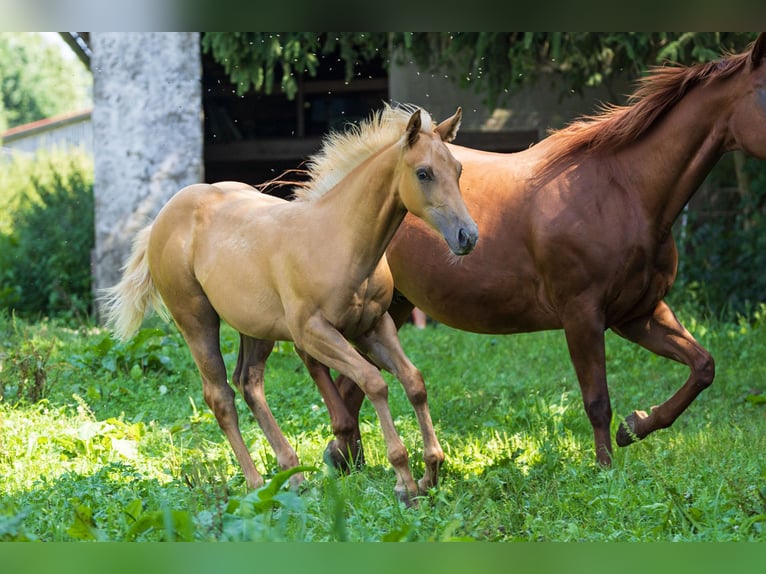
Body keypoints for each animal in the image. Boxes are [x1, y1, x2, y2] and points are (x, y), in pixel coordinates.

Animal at [101, 104, 478, 505]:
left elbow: (413, 381)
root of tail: (162, 216)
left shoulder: (374, 326)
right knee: (220, 396)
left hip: (256, 328)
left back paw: (293, 475)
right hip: (196, 320)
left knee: (249, 383)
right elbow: (374, 382)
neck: (339, 238)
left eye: (458, 169)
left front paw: (430, 472)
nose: (467, 236)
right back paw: (255, 484)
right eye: (423, 173)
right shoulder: (313, 334)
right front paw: (404, 480)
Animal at [309, 33, 766, 470]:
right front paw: (606, 470)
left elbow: (703, 366)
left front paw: (635, 426)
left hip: (392, 309)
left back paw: (348, 461)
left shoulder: (638, 313)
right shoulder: (583, 316)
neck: (623, 193)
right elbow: (597, 401)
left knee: (354, 383)